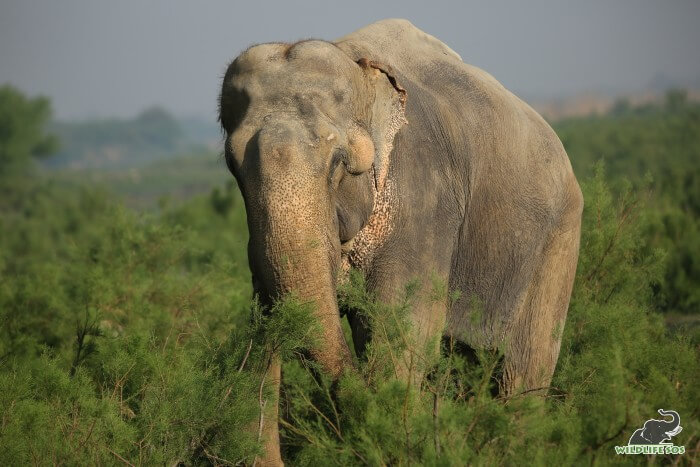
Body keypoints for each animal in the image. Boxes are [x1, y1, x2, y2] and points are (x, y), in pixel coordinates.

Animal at [221, 18, 584, 464]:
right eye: (232, 165)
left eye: (339, 163)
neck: (358, 68)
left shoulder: (424, 200)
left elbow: (401, 338)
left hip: (559, 240)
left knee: (525, 372)